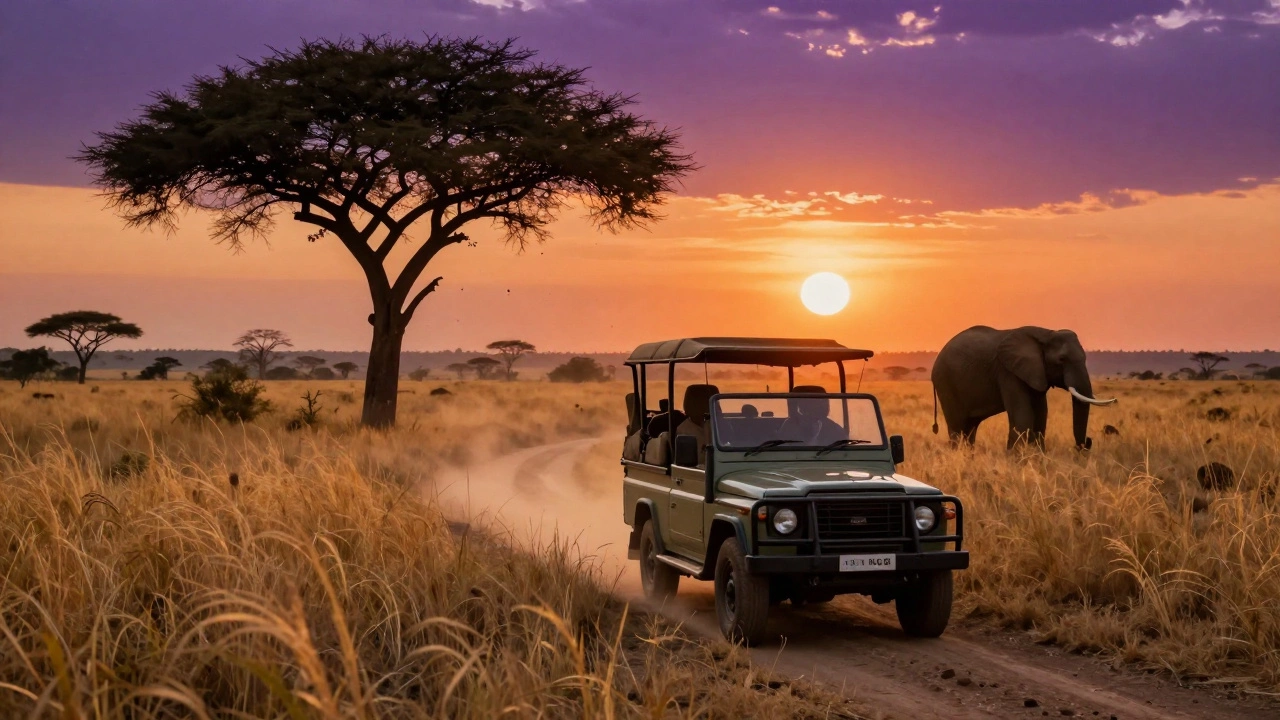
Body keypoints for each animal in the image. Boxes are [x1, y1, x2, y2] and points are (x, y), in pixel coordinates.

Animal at [931, 326, 1116, 450]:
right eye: (1062, 359)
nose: (1086, 444)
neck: (1046, 334)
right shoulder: (1008, 371)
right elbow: (1023, 413)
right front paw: (1018, 460)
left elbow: (1041, 414)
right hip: (946, 382)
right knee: (957, 426)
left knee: (970, 427)